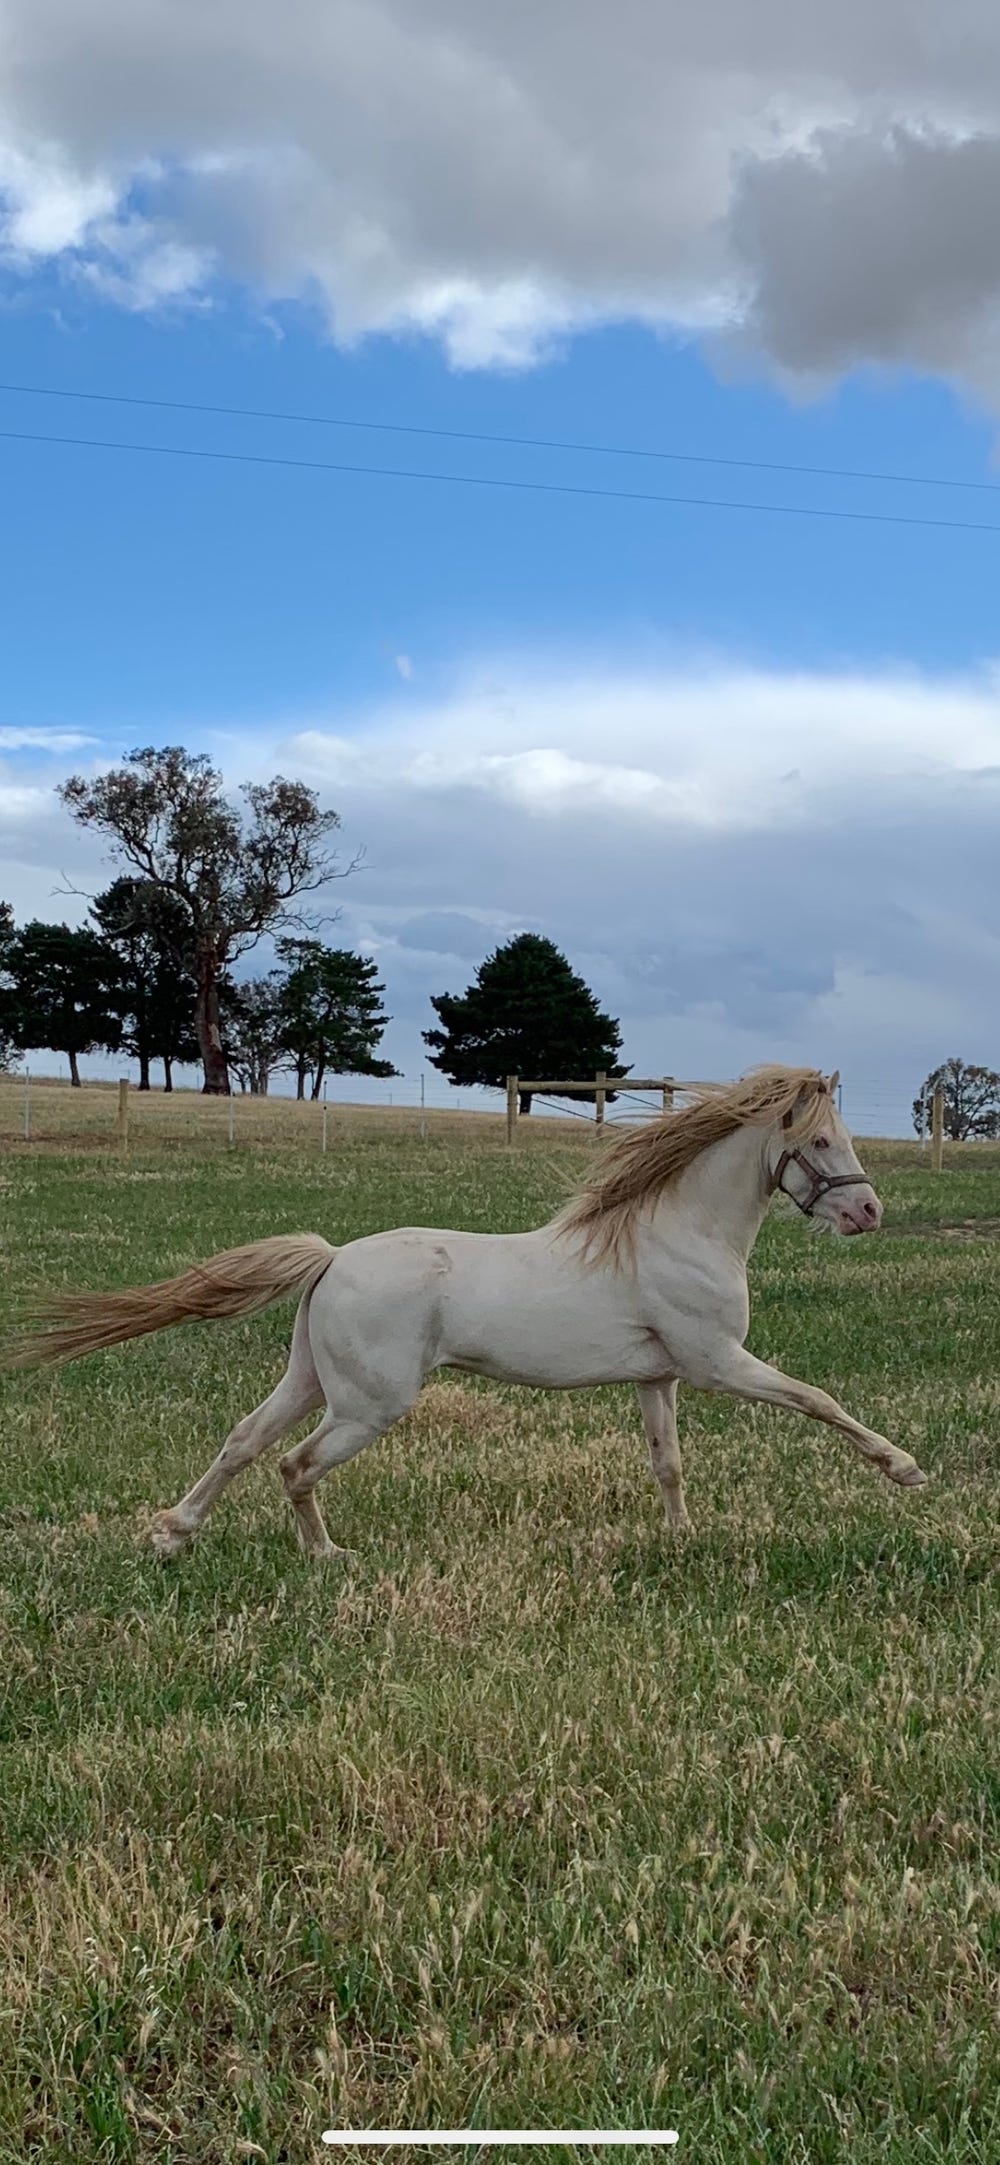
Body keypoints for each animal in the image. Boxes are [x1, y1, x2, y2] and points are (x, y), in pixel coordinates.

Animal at [6, 1064, 927, 1560]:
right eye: (819, 1141)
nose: (868, 1212)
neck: (675, 1231)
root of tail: (334, 1256)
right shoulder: (717, 1363)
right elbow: (819, 1399)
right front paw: (905, 1468)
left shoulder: (659, 1376)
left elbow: (667, 1463)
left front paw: (682, 1536)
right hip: (369, 1404)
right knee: (294, 1465)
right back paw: (326, 1554)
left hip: (312, 1381)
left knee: (242, 1441)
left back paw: (173, 1532)